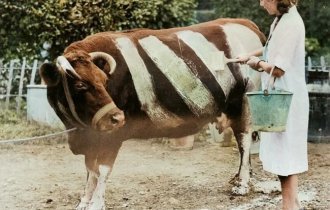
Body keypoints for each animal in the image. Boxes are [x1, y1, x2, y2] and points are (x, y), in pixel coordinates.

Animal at [40, 18, 266, 210]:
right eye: (80, 85)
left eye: (104, 80)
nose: (118, 117)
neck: (78, 131)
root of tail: (245, 23)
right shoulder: (90, 137)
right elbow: (89, 169)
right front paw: (84, 201)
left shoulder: (112, 136)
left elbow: (102, 168)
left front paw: (96, 203)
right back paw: (240, 177)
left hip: (245, 102)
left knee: (244, 140)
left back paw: (242, 184)